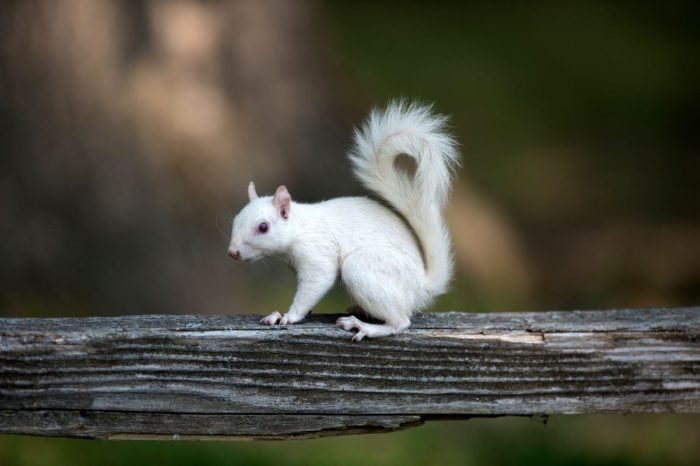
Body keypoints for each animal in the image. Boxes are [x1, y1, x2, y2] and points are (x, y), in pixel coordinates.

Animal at [228, 100, 460, 340]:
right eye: (235, 220)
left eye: (263, 227)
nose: (233, 252)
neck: (299, 229)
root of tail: (421, 285)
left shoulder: (317, 255)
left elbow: (315, 284)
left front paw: (287, 316)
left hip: (362, 269)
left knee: (400, 321)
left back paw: (364, 327)